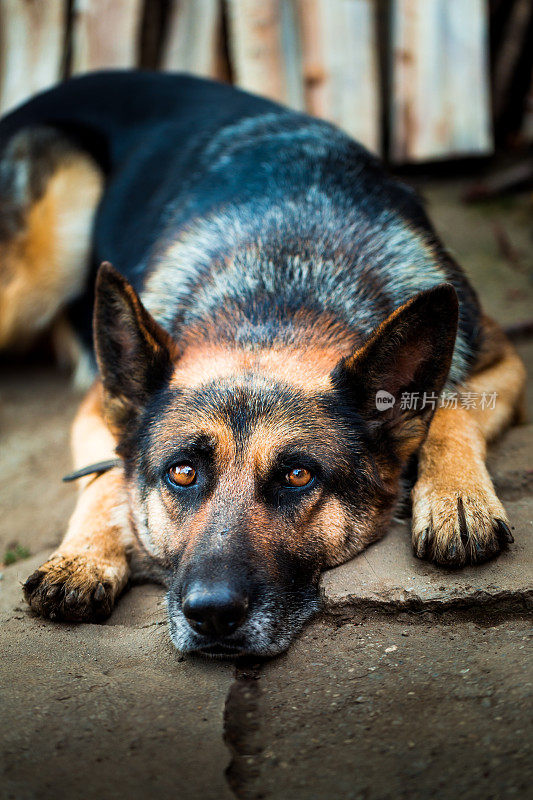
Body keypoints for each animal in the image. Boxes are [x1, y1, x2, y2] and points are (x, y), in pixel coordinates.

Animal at [0, 70, 524, 656]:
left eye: (298, 476)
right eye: (182, 472)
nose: (211, 614)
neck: (279, 295)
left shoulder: (502, 360)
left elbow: (451, 410)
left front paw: (458, 497)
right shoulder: (97, 406)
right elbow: (106, 479)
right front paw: (85, 556)